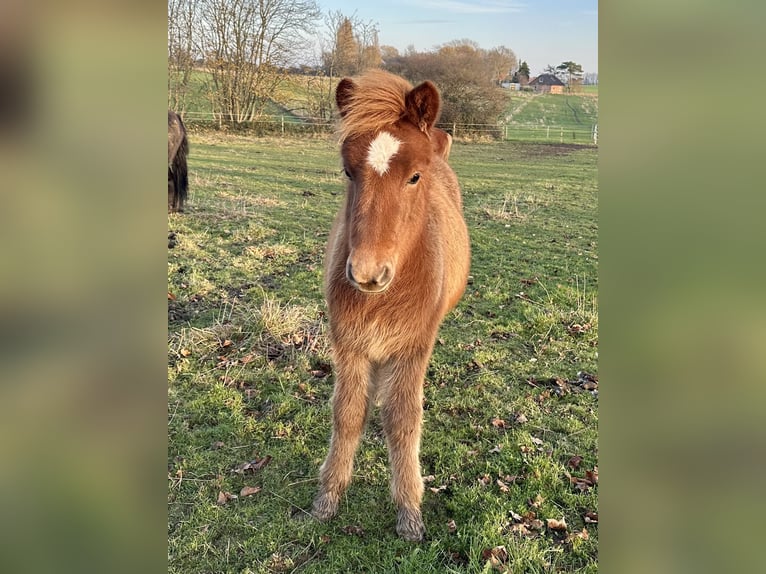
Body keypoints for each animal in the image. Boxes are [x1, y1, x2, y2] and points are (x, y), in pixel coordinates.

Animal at [311, 70, 471, 541]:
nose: (367, 272)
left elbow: (403, 421)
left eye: (415, 177)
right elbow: (347, 414)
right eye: (348, 172)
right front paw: (328, 498)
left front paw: (409, 512)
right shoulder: (348, 343)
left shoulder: (413, 348)